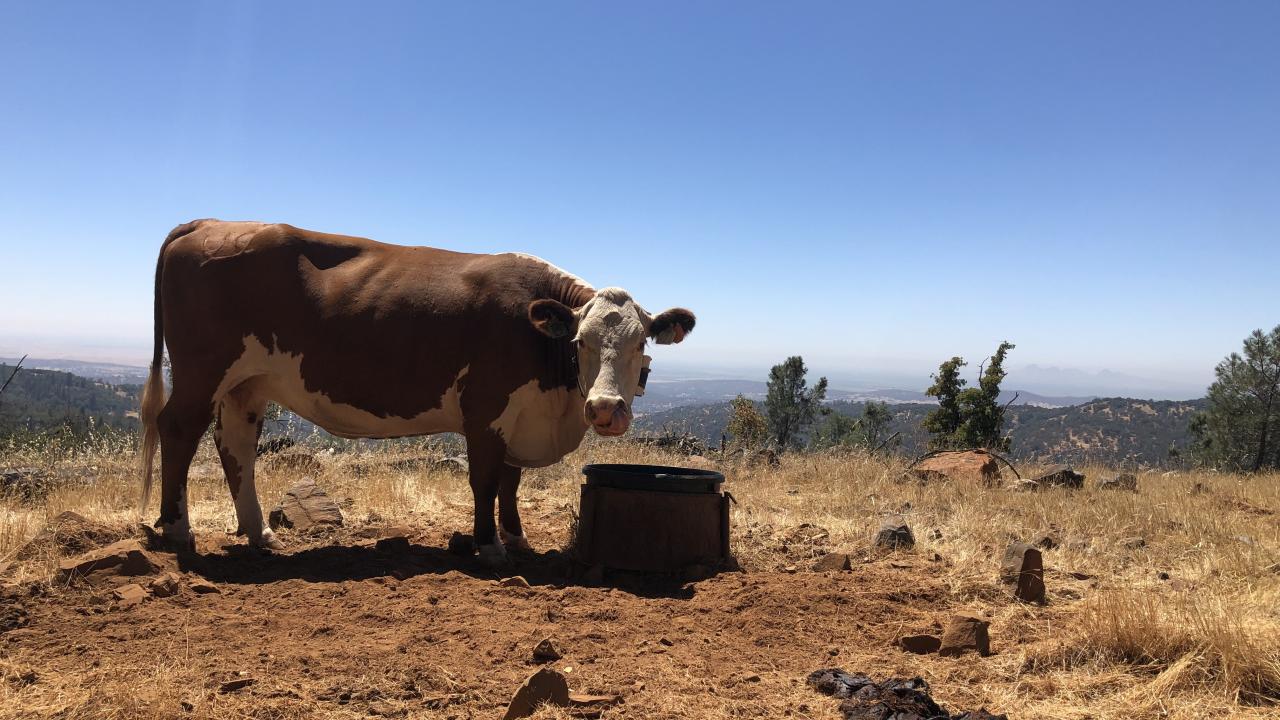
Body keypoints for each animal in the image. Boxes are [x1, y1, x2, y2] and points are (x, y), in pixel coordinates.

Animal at [140, 219, 696, 561]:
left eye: (641, 342)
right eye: (580, 341)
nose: (604, 409)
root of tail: (209, 223)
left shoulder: (520, 415)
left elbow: (511, 482)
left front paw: (516, 537)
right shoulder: (486, 408)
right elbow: (485, 481)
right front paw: (489, 546)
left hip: (248, 384)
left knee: (235, 445)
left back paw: (259, 533)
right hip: (202, 370)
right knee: (179, 429)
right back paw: (178, 528)